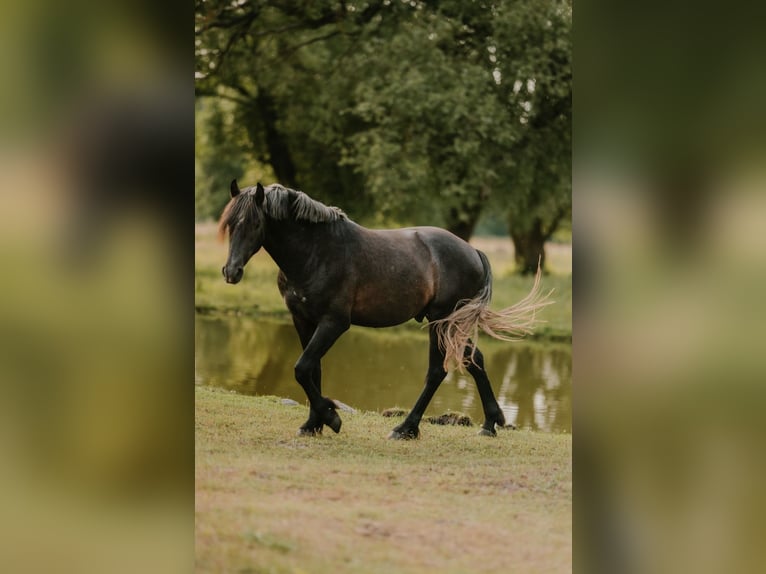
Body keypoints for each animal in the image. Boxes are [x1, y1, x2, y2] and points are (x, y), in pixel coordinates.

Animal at [219, 181, 548, 440]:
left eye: (255, 224)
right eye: (231, 223)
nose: (231, 272)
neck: (317, 251)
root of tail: (474, 251)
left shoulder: (334, 323)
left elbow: (301, 368)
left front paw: (331, 417)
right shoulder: (302, 320)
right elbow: (312, 369)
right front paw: (313, 424)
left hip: (441, 322)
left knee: (437, 371)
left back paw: (406, 429)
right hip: (451, 324)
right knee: (474, 360)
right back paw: (490, 424)